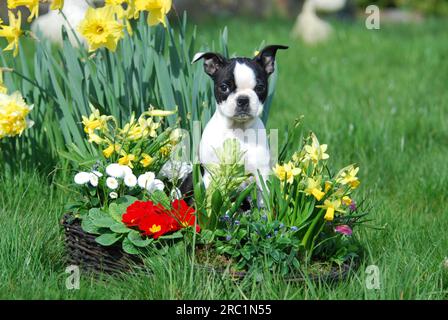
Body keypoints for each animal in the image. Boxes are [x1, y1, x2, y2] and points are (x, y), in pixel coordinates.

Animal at [192, 45, 288, 192]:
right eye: (224, 87)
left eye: (260, 87)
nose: (243, 99)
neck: (237, 128)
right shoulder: (211, 174)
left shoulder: (262, 173)